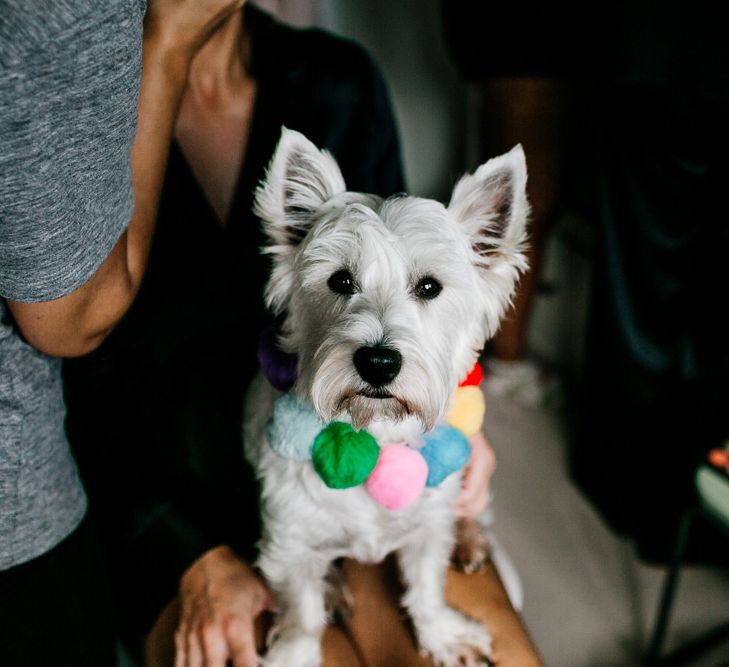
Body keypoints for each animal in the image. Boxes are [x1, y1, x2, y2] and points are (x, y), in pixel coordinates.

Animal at [245, 126, 528, 667]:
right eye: (340, 280)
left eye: (429, 287)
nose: (378, 362)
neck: (371, 434)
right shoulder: (290, 541)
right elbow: (301, 612)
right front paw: (294, 653)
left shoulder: (428, 526)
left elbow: (426, 587)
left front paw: (442, 633)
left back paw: (471, 540)